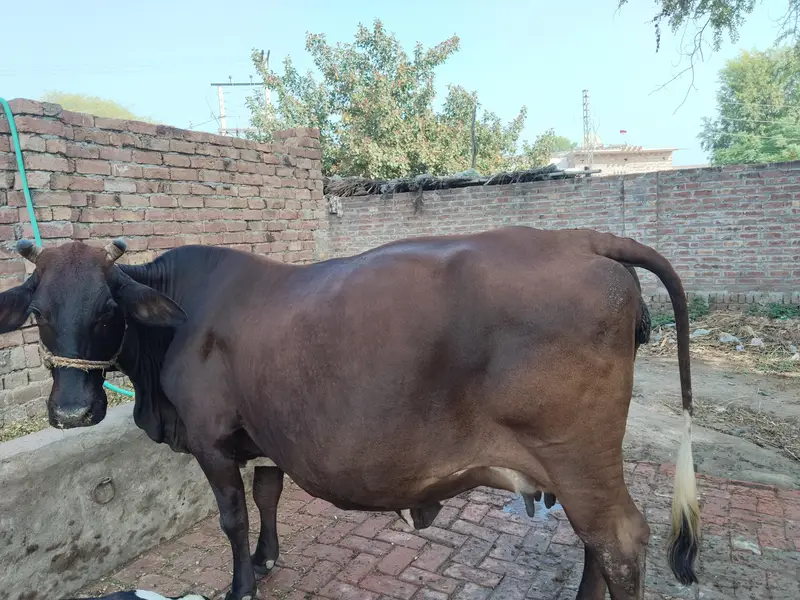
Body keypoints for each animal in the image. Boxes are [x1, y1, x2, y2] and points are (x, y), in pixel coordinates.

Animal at [0, 226, 699, 600]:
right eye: (37, 310)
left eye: (107, 309)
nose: (70, 411)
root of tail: (579, 239)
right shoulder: (265, 433)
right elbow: (269, 493)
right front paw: (268, 557)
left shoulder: (211, 440)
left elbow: (232, 517)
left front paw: (241, 582)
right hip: (574, 469)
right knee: (594, 545)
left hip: (578, 458)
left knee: (618, 542)